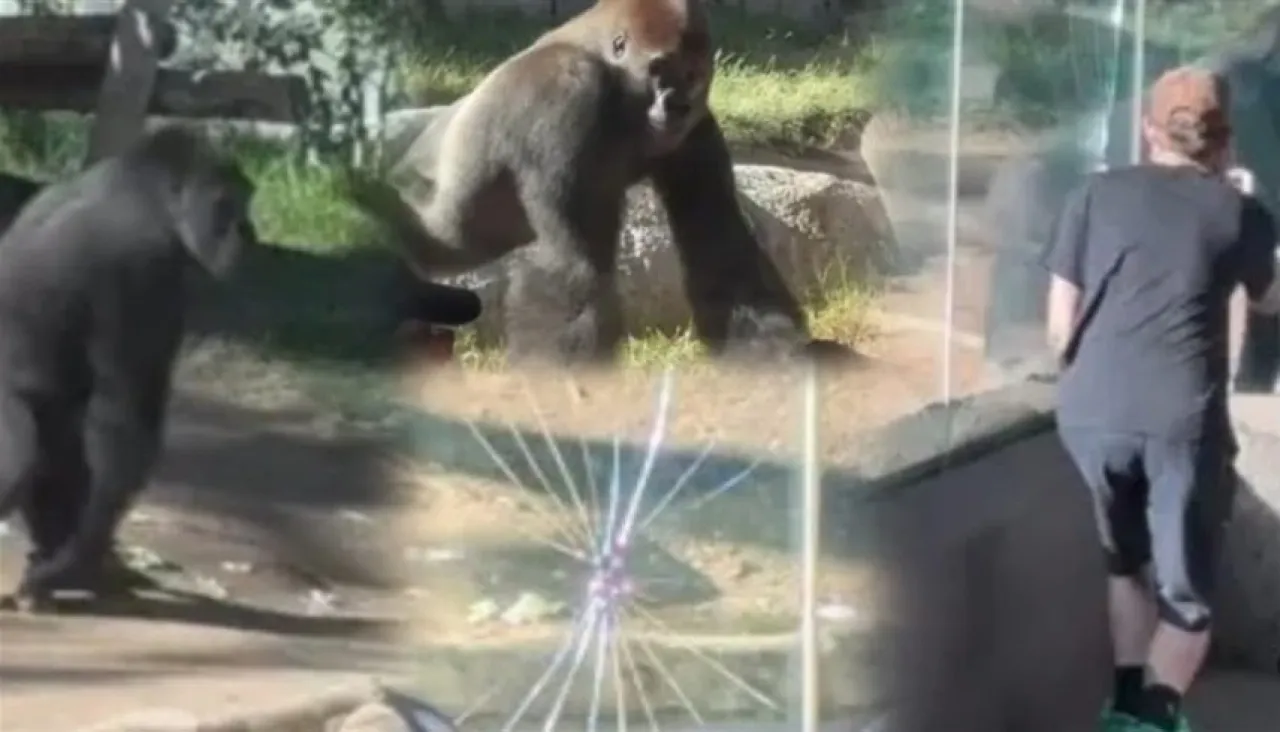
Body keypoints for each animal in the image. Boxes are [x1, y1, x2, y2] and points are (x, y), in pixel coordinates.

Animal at [0, 126, 259, 610]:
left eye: (245, 199)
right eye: (225, 203)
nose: (247, 231)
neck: (144, 191)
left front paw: (74, 562)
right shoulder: (143, 272)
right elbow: (125, 422)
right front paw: (76, 562)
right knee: (25, 449)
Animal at [347, 0, 851, 366]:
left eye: (692, 75)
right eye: (660, 70)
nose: (677, 106)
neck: (609, 70)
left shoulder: (697, 130)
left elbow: (720, 246)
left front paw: (781, 354)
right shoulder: (564, 93)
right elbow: (576, 264)